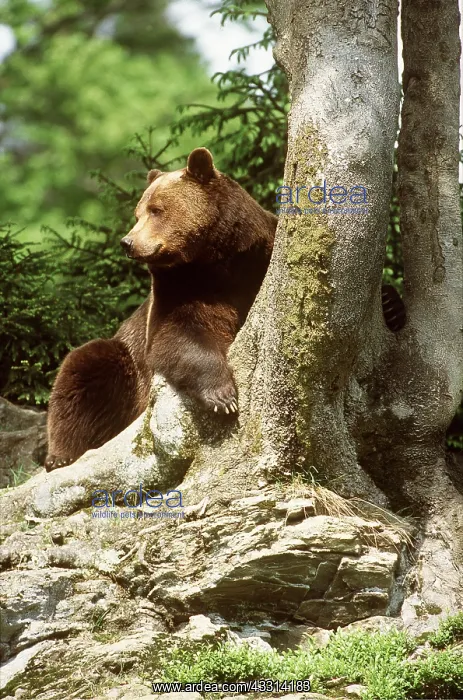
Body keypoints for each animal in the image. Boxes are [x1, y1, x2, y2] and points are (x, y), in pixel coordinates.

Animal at [44, 148, 277, 470]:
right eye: (138, 213)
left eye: (156, 210)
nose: (127, 242)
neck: (216, 259)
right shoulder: (179, 289)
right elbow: (177, 335)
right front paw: (222, 395)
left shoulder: (255, 259)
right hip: (128, 370)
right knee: (85, 368)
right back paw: (61, 455)